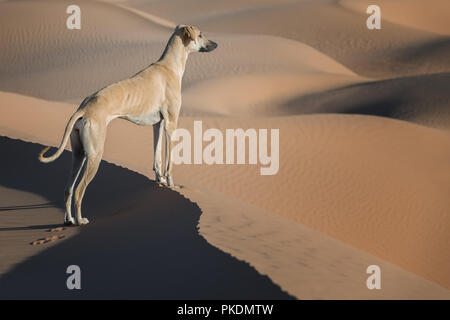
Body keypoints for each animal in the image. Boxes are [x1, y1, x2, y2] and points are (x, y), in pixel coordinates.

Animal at [37, 24, 217, 225]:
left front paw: (160, 180)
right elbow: (169, 161)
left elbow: (157, 156)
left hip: (79, 154)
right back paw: (80, 220)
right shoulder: (171, 124)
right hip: (95, 155)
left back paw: (69, 220)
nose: (215, 44)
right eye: (200, 35)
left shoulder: (158, 124)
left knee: (68, 189)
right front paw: (171, 183)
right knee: (78, 190)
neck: (169, 66)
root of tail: (84, 108)